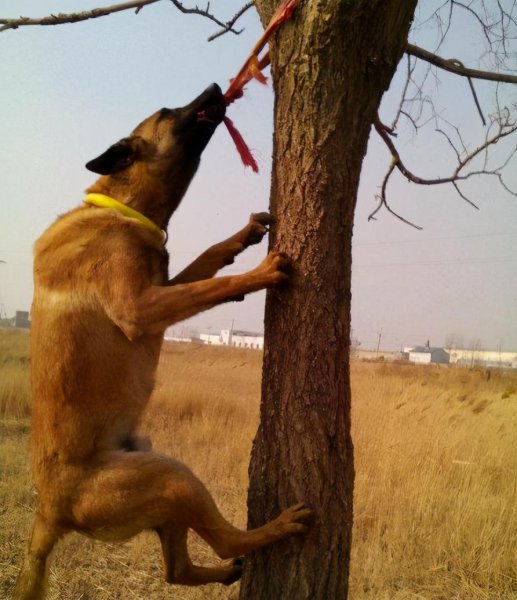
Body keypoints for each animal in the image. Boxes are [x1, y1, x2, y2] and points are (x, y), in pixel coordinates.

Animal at [14, 85, 310, 600]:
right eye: (169, 112)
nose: (216, 87)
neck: (121, 207)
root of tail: (50, 512)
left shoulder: (164, 288)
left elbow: (206, 263)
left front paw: (242, 237)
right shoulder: (141, 308)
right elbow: (212, 285)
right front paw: (257, 273)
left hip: (158, 476)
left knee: (179, 569)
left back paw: (224, 573)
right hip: (172, 477)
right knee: (226, 541)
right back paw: (278, 527)